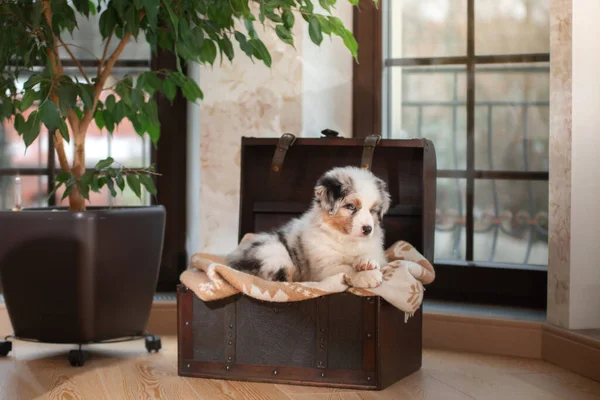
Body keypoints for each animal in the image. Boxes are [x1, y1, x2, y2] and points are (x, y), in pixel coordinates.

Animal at [227, 165, 392, 288]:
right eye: (351, 206)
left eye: (373, 211)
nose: (368, 229)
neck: (346, 238)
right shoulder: (324, 268)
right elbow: (345, 267)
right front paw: (367, 275)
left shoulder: (377, 252)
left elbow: (371, 256)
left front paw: (367, 263)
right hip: (275, 255)